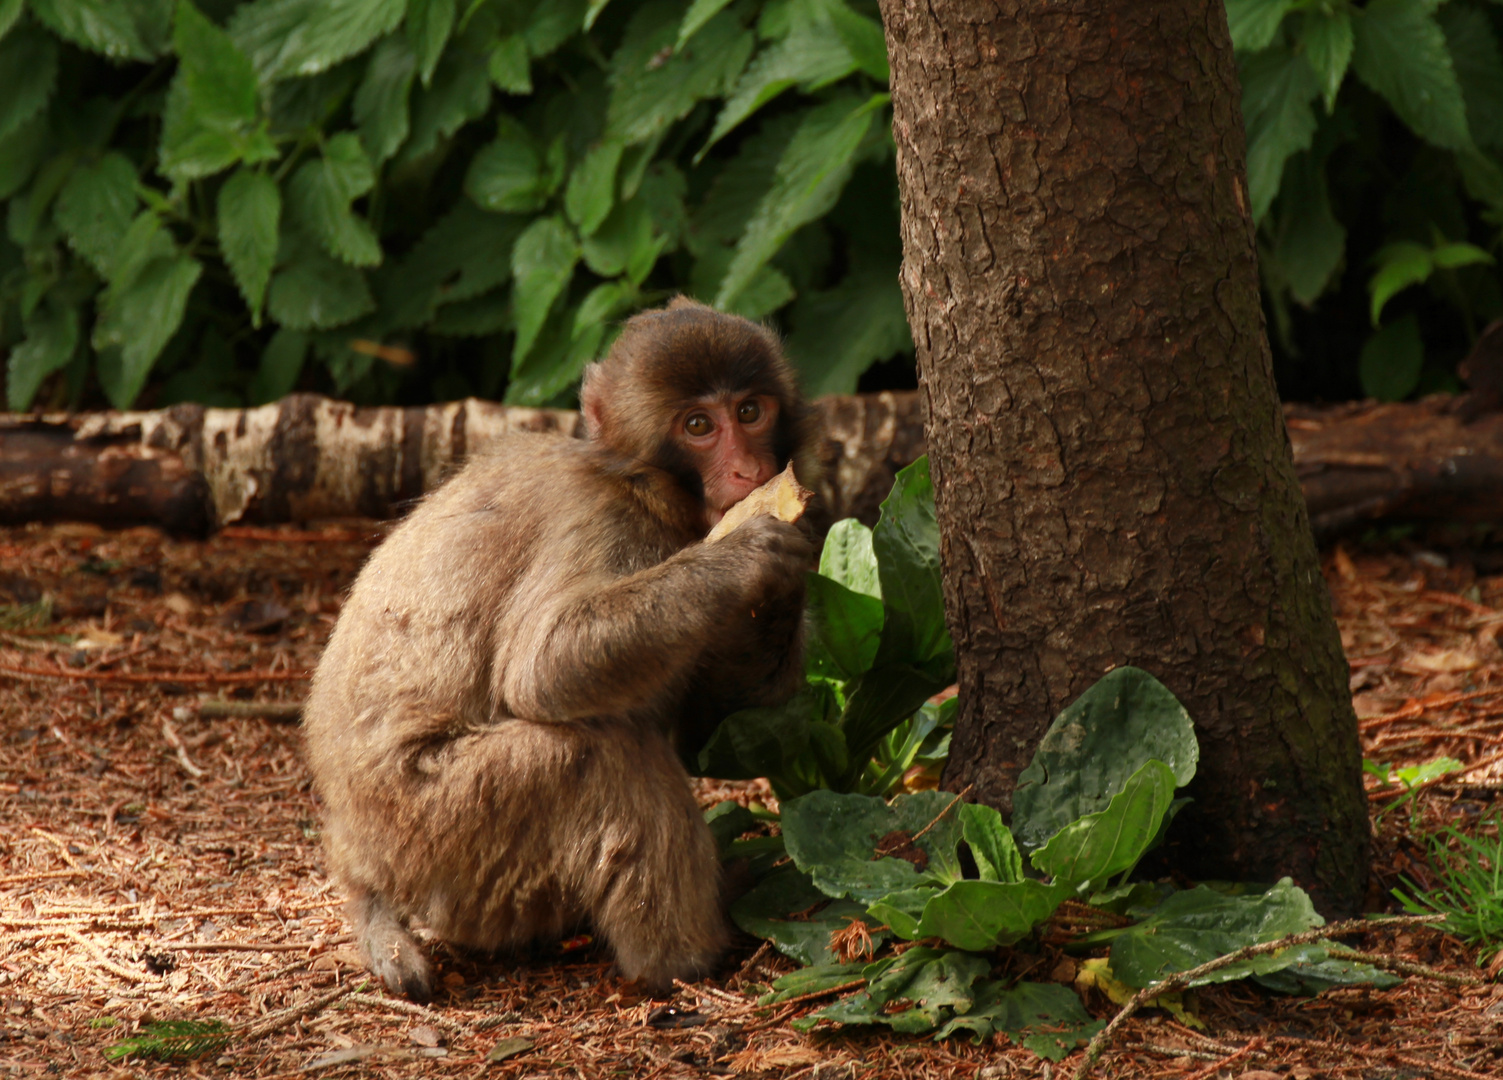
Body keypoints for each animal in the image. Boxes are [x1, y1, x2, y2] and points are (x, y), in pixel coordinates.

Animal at [300, 297, 823, 1003]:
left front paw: (787, 572)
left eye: (749, 411)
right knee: (600, 751)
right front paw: (743, 560)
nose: (750, 471)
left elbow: (711, 721)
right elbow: (541, 667)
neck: (636, 479)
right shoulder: (604, 517)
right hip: (438, 831)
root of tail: (360, 861)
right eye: (697, 426)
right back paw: (683, 957)